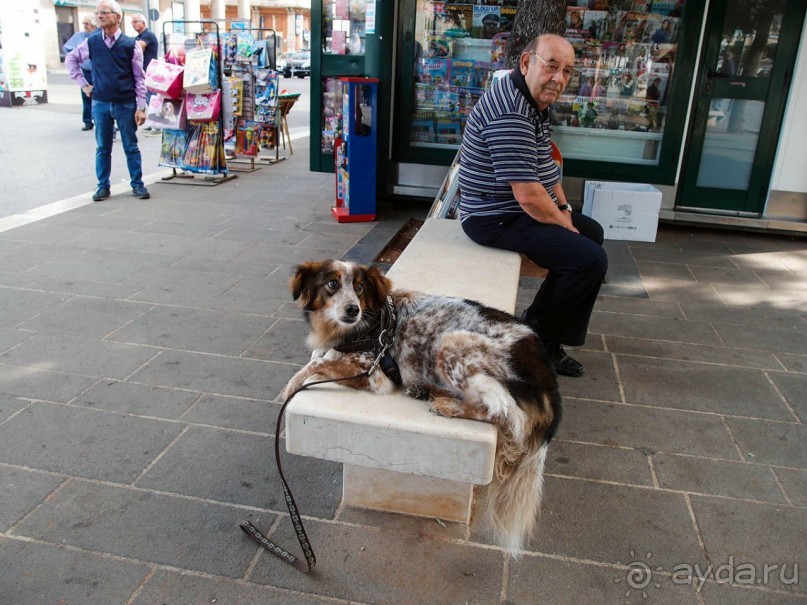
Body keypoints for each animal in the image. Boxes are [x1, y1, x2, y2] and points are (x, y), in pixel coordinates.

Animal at [282, 258, 560, 556]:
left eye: (359, 287)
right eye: (332, 283)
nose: (352, 309)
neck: (366, 325)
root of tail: (543, 363)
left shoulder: (373, 374)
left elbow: (316, 363)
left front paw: (289, 388)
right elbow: (316, 355)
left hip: (453, 345)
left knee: (507, 412)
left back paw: (448, 405)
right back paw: (425, 390)